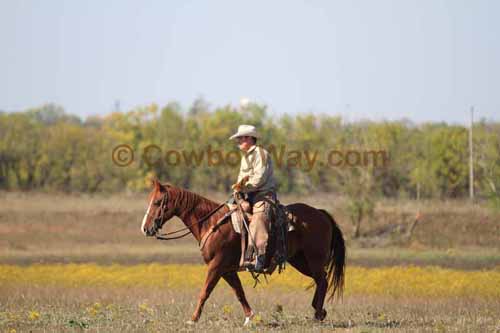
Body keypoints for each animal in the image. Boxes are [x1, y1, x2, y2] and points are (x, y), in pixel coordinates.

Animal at [140, 180, 344, 322]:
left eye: (157, 202)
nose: (145, 228)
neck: (211, 223)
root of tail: (320, 213)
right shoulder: (227, 270)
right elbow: (239, 292)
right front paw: (251, 317)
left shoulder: (216, 266)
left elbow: (205, 291)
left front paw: (193, 319)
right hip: (301, 261)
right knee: (320, 280)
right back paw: (319, 311)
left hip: (314, 259)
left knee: (323, 280)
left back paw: (317, 314)